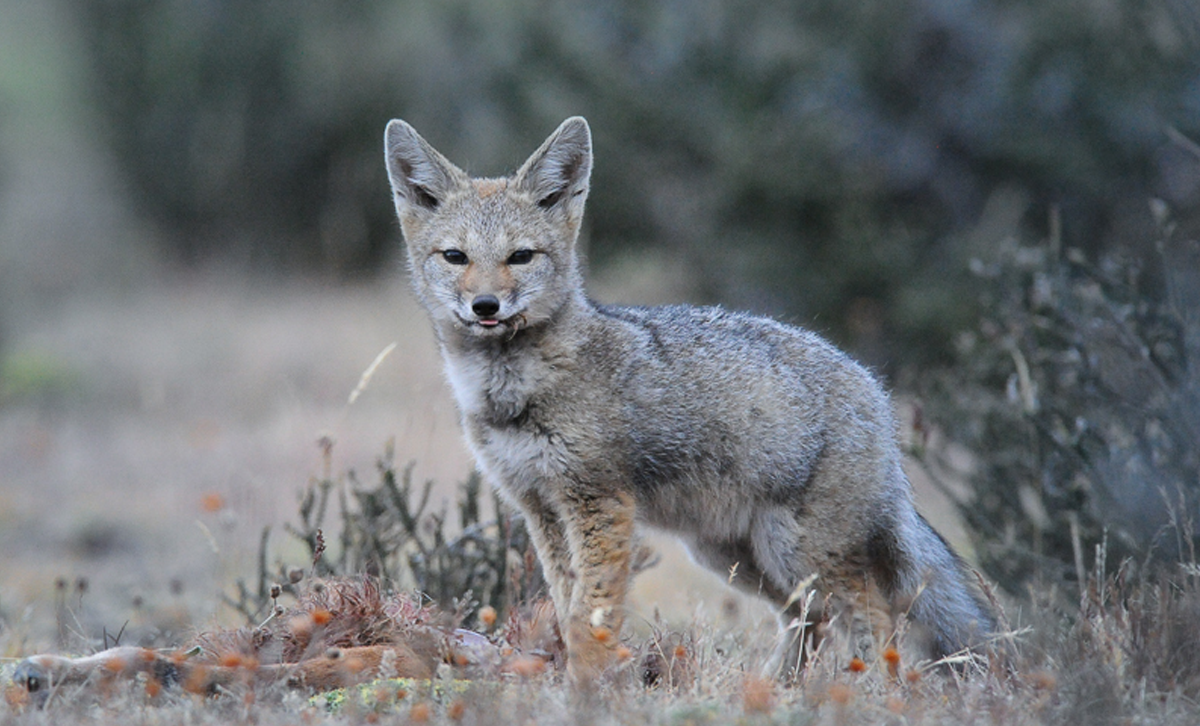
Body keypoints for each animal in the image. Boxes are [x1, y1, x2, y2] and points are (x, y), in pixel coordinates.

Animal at [383, 116, 996, 683]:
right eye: (456, 257)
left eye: (520, 257)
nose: (485, 306)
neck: (511, 390)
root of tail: (874, 388)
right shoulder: (540, 510)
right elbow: (563, 604)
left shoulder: (600, 505)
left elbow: (589, 616)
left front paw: (587, 688)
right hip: (737, 556)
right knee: (810, 619)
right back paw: (778, 689)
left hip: (801, 552)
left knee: (875, 618)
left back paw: (873, 693)